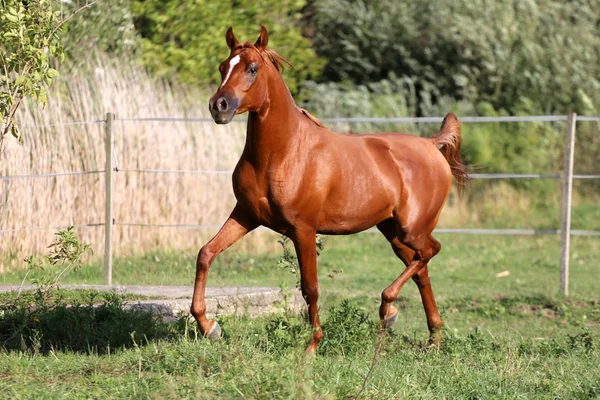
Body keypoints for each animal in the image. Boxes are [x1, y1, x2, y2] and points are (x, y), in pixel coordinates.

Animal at [192, 26, 468, 354]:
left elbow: (310, 287)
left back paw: (389, 308)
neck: (283, 153)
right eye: (223, 67)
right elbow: (206, 253)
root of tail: (431, 145)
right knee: (422, 268)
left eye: (252, 69)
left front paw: (312, 345)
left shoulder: (303, 229)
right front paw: (209, 327)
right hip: (392, 231)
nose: (218, 106)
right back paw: (430, 335)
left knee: (430, 251)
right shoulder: (246, 215)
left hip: (412, 229)